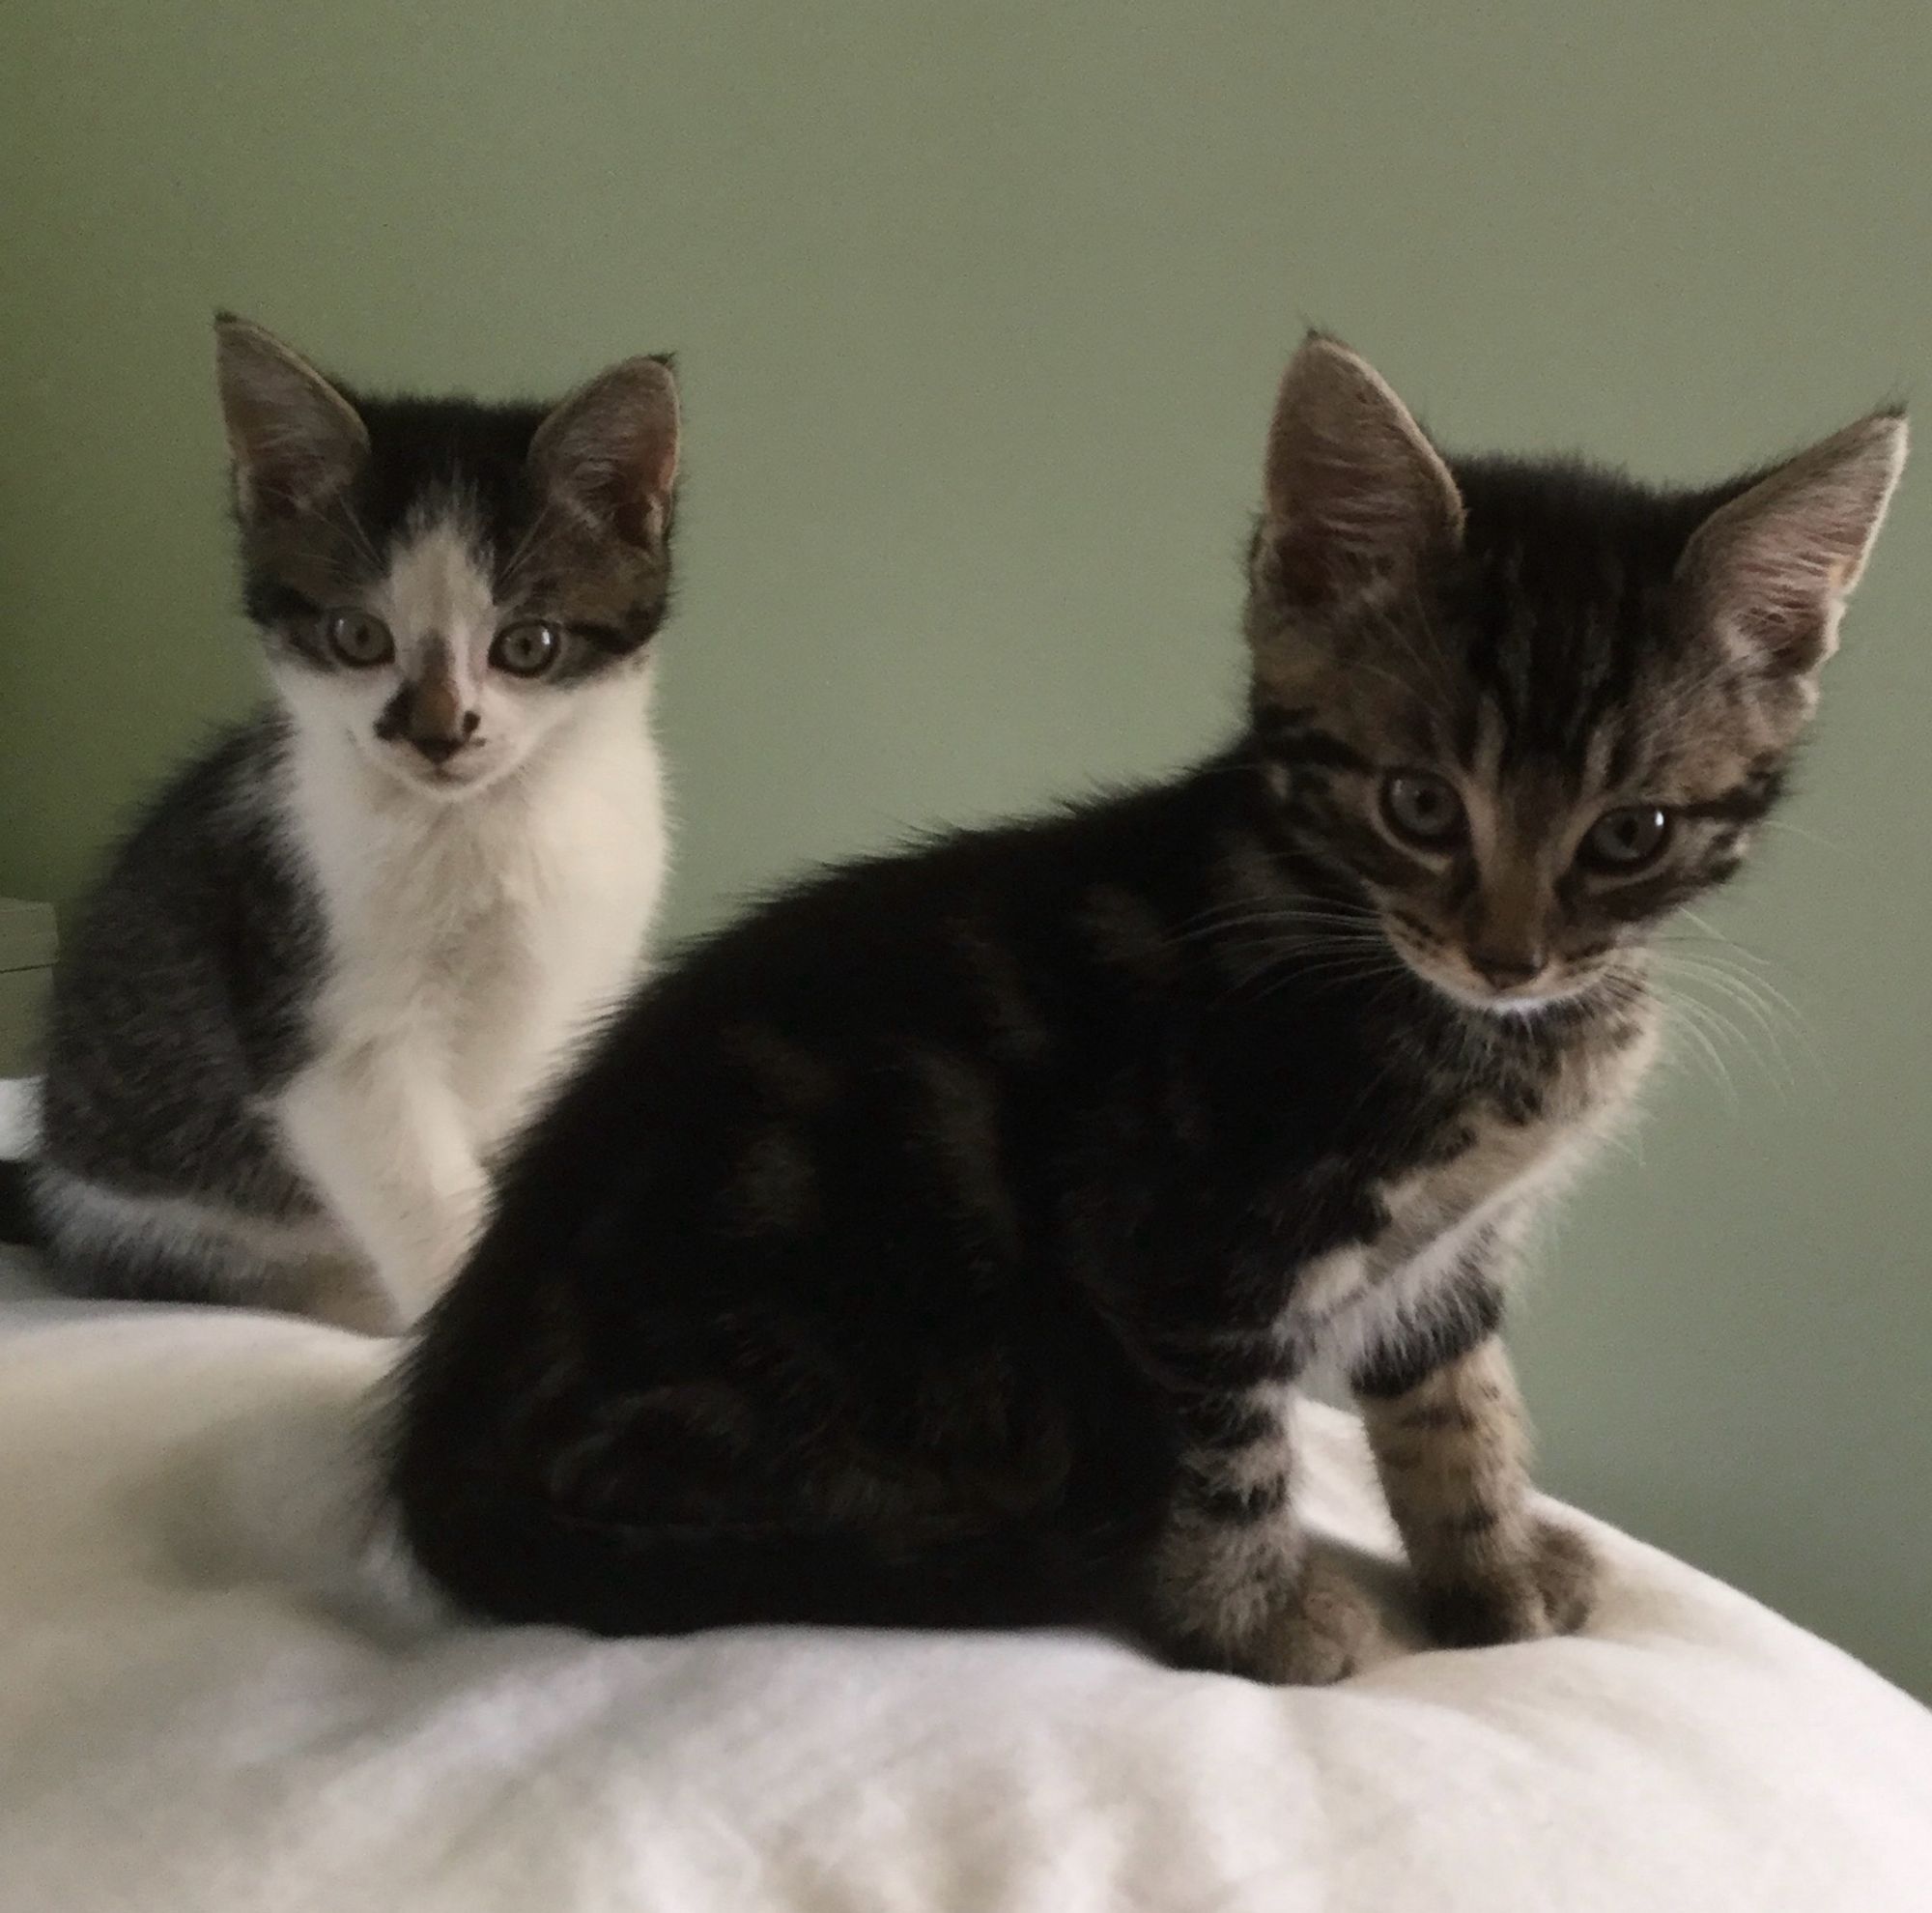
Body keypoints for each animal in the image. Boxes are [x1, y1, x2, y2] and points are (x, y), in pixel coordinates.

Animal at [30, 319, 684, 1329]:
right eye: (357, 637)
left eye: (528, 645)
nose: (438, 733)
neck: (492, 821)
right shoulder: (334, 1031)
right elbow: (421, 1192)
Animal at [392, 336, 1901, 1685]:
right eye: (1419, 805)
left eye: (1631, 834)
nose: (1509, 955)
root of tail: (440, 1448)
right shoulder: (1172, 1234)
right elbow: (1226, 1447)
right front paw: (1259, 1620)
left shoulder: (1446, 1255)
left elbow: (1460, 1406)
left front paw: (1495, 1574)